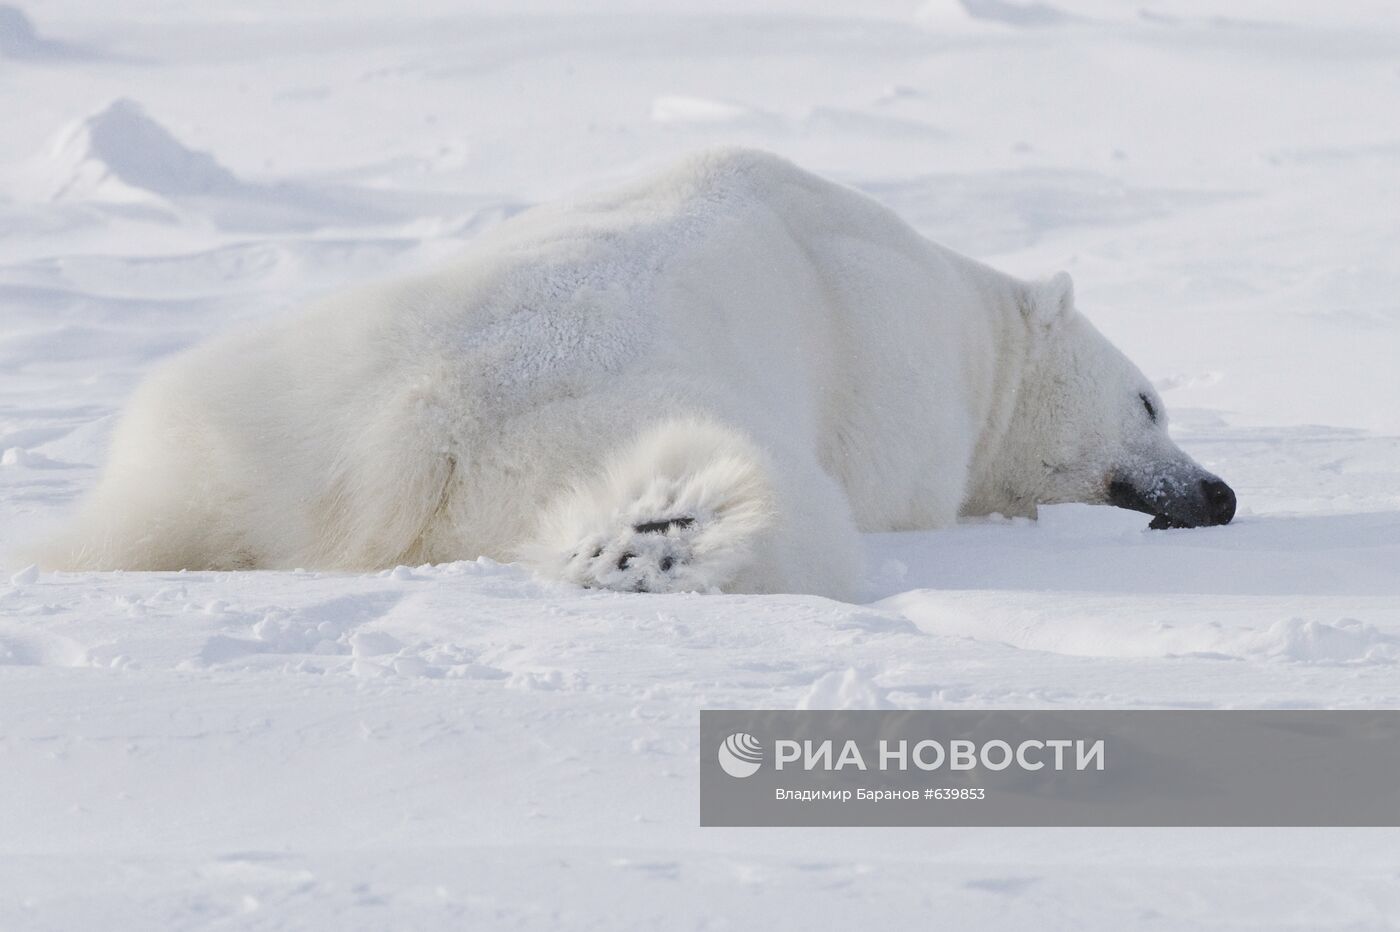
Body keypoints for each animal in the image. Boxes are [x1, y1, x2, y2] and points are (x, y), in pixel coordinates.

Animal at [38, 145, 1232, 596]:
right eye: (1149, 401)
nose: (1216, 491)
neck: (967, 319)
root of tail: (409, 438)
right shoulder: (902, 382)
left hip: (255, 402)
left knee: (154, 503)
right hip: (615, 411)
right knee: (769, 497)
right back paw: (657, 538)